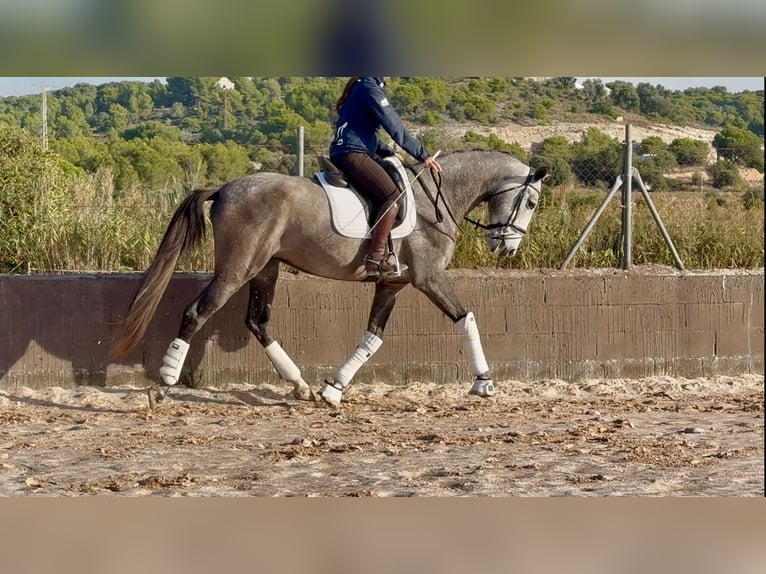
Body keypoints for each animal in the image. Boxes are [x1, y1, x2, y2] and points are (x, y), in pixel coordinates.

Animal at [109, 150, 547, 408]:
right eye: (530, 201)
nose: (506, 248)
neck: (435, 200)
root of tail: (224, 188)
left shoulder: (392, 284)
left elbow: (372, 338)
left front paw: (332, 389)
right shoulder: (429, 277)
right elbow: (466, 318)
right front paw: (483, 382)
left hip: (266, 268)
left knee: (257, 321)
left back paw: (300, 386)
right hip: (239, 268)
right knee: (197, 312)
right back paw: (164, 383)